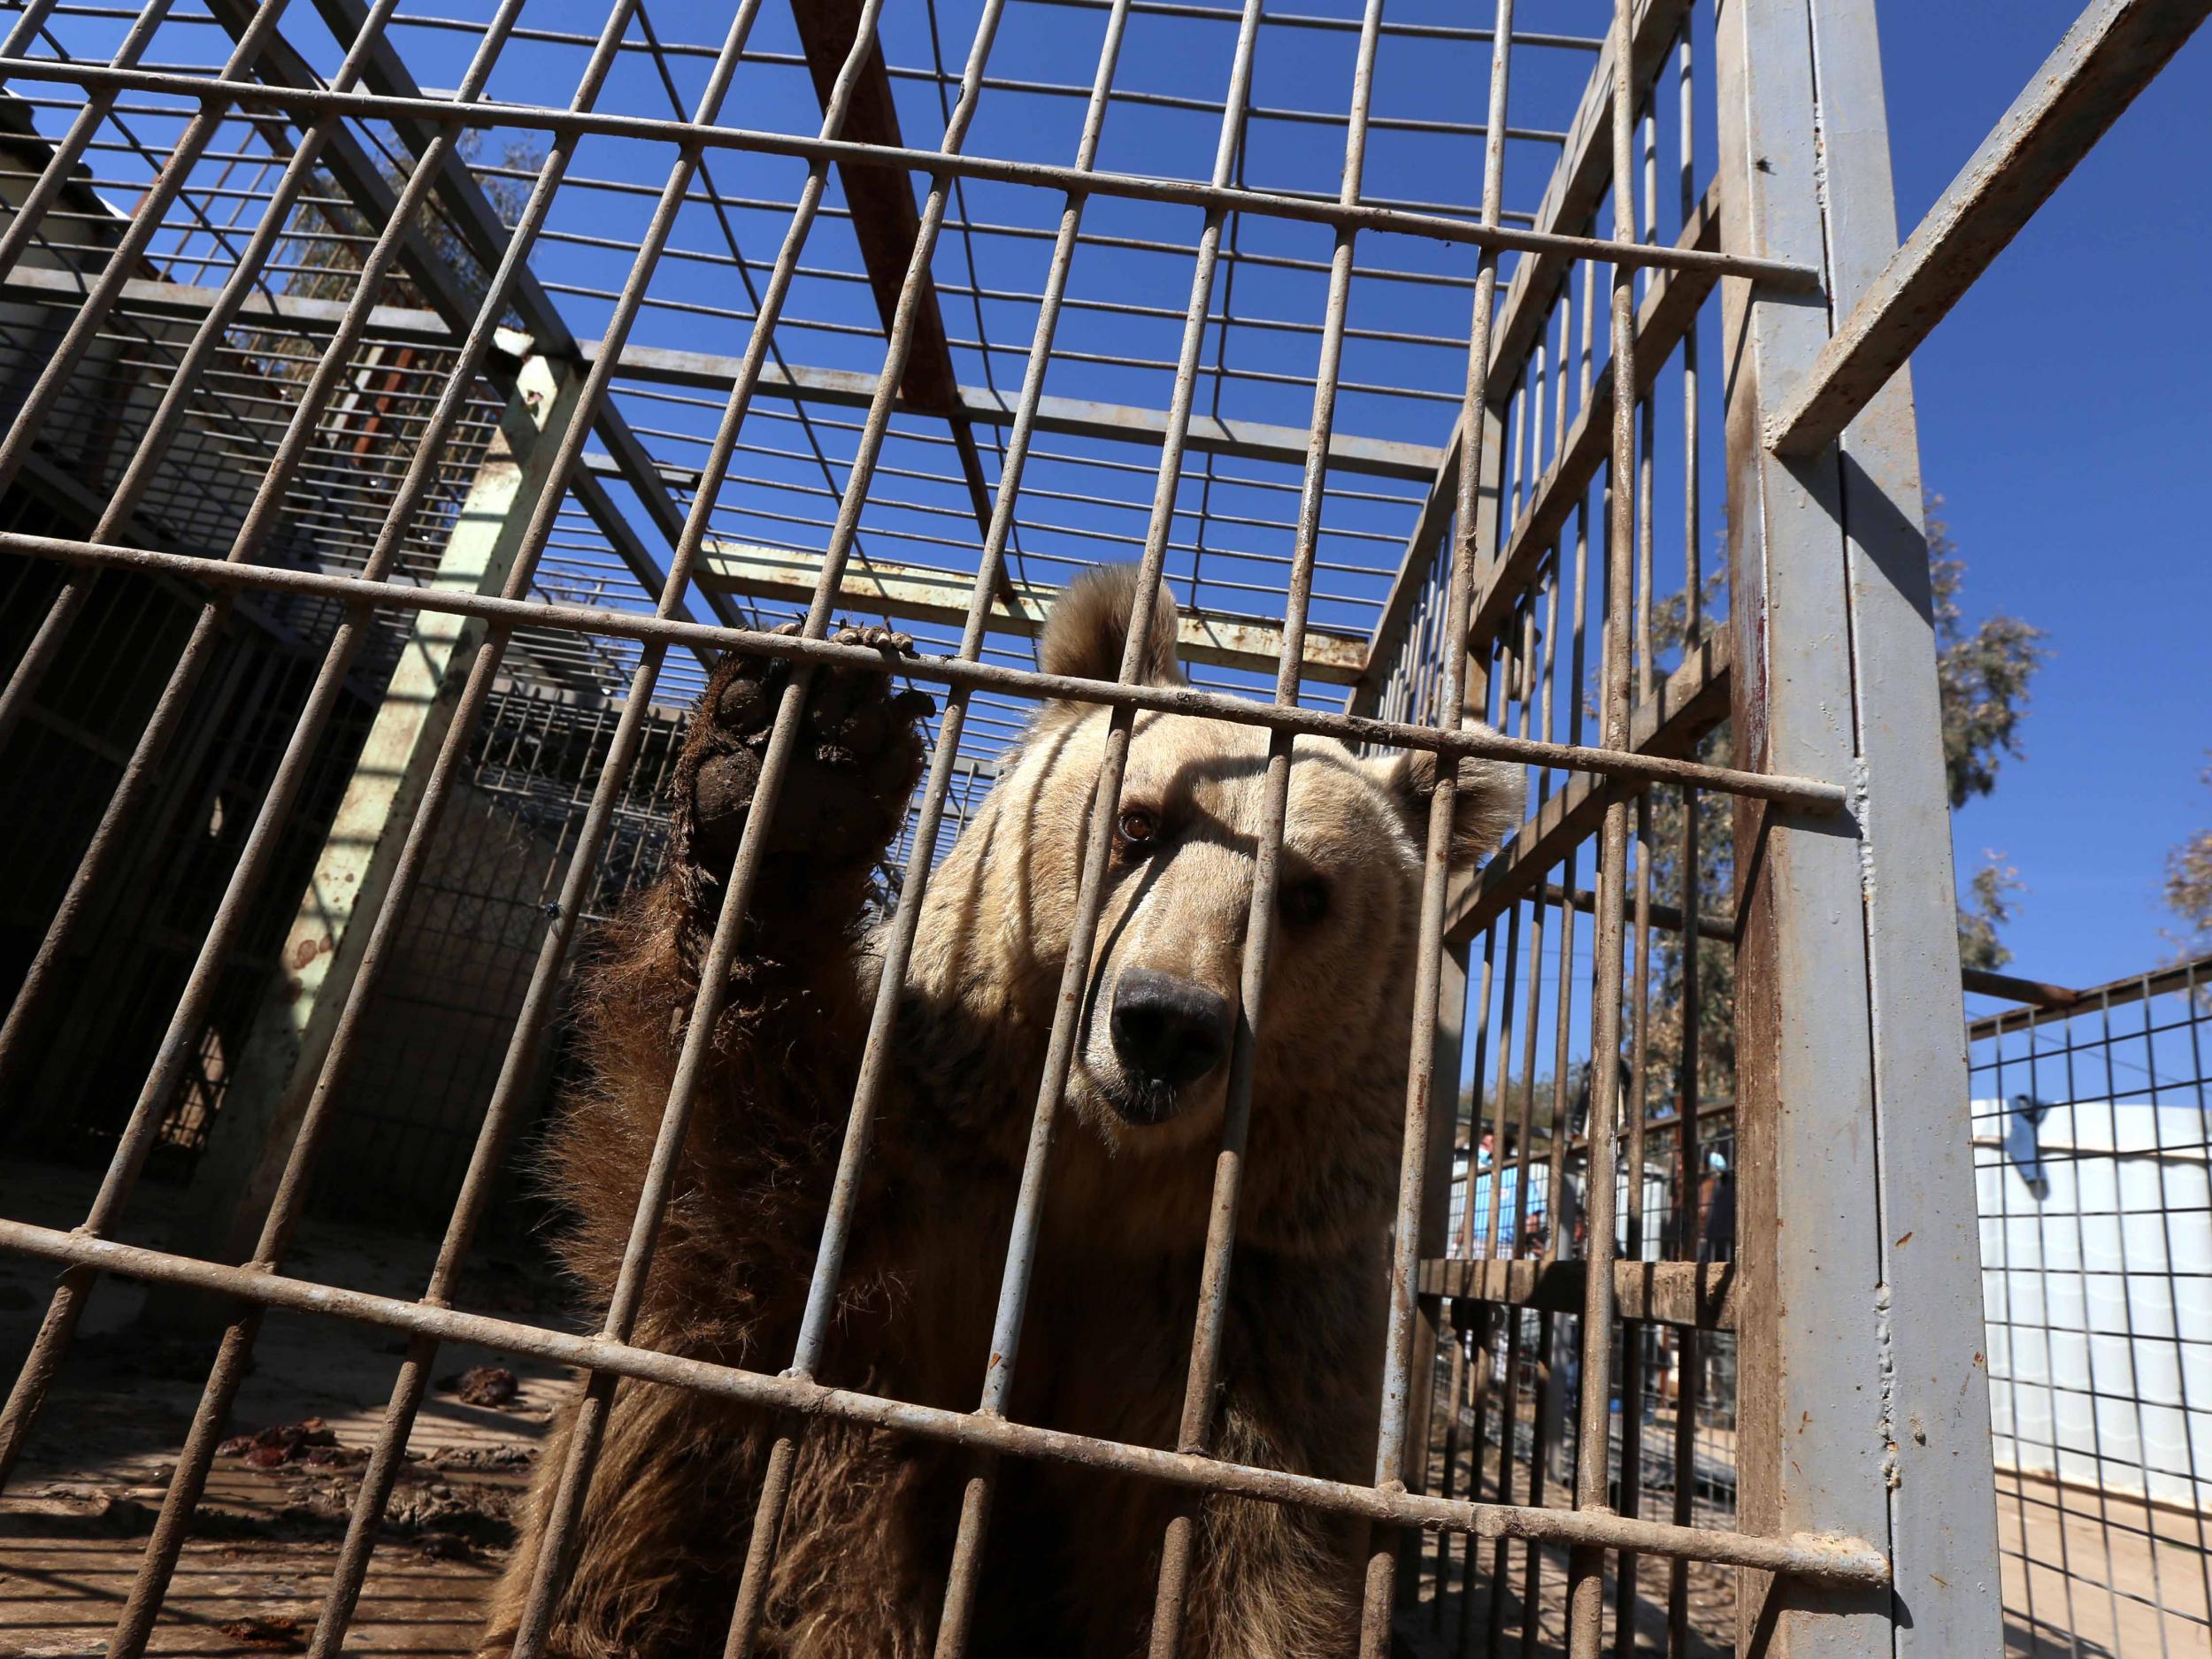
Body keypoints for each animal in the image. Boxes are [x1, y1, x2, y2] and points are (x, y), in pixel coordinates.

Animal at [482, 566, 1522, 1655]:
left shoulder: (1252, 1319)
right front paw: (797, 762)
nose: (1165, 1025)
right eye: (1138, 823)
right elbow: (747, 1234)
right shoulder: (915, 1187)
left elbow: (1236, 1566)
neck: (1094, 1184)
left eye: (1305, 893)